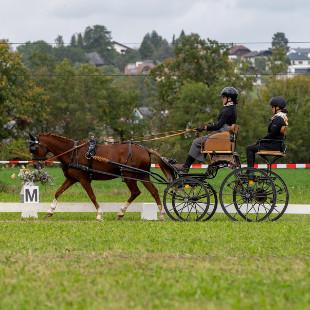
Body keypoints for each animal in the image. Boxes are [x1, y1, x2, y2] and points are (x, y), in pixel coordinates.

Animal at [28, 133, 173, 220]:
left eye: (34, 148)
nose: (35, 165)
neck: (73, 153)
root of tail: (145, 150)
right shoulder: (72, 179)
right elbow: (58, 192)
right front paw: (50, 211)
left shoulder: (83, 179)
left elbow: (92, 196)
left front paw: (99, 214)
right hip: (143, 176)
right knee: (153, 191)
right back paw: (161, 214)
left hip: (129, 176)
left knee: (136, 192)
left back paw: (122, 212)